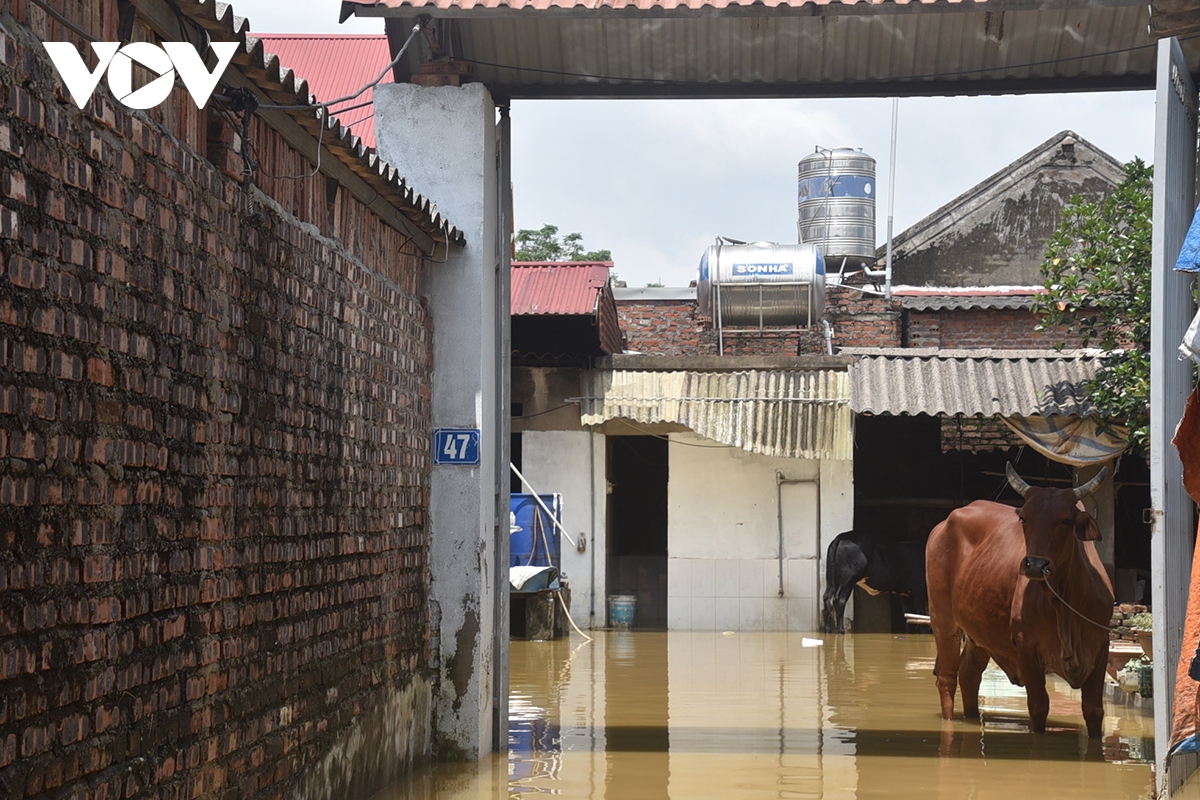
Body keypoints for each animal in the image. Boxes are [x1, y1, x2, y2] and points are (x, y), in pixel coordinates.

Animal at [926, 462, 1113, 738]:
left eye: (1066, 520)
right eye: (1024, 518)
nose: (1035, 565)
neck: (1064, 605)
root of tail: (943, 524)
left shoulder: (1101, 646)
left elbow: (1094, 710)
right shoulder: (1027, 648)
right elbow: (1038, 706)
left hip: (979, 633)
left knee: (969, 674)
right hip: (943, 620)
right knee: (947, 677)